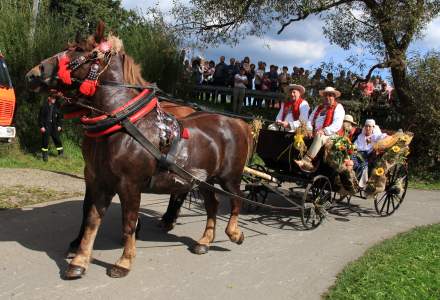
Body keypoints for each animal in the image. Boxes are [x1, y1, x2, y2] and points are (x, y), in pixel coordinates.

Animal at [26, 22, 254, 278]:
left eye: (79, 50)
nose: (33, 73)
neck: (122, 123)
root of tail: (238, 123)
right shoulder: (100, 180)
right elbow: (92, 218)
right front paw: (80, 260)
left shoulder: (130, 185)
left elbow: (128, 222)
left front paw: (124, 261)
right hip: (204, 180)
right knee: (212, 204)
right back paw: (204, 240)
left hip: (229, 178)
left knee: (236, 201)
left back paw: (233, 232)